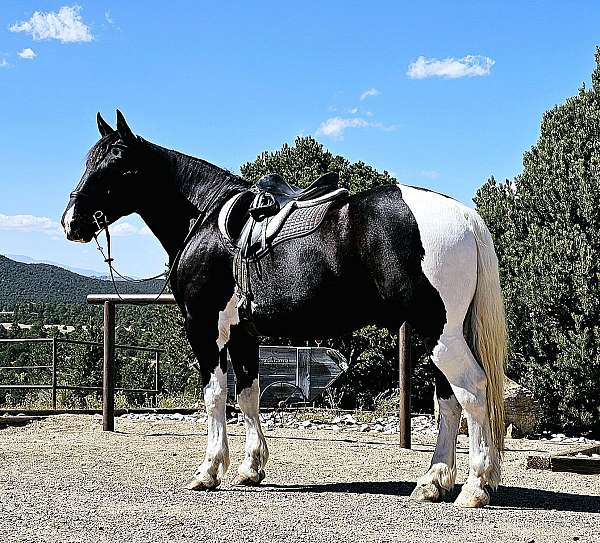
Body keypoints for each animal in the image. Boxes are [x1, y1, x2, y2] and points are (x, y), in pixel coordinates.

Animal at [62, 112, 506, 508]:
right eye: (89, 160)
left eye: (115, 163)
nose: (70, 222)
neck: (204, 219)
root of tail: (465, 216)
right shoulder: (243, 332)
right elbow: (248, 395)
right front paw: (251, 468)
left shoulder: (205, 327)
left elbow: (214, 395)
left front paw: (209, 471)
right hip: (440, 336)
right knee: (449, 400)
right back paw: (433, 482)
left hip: (439, 333)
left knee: (472, 392)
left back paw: (475, 488)